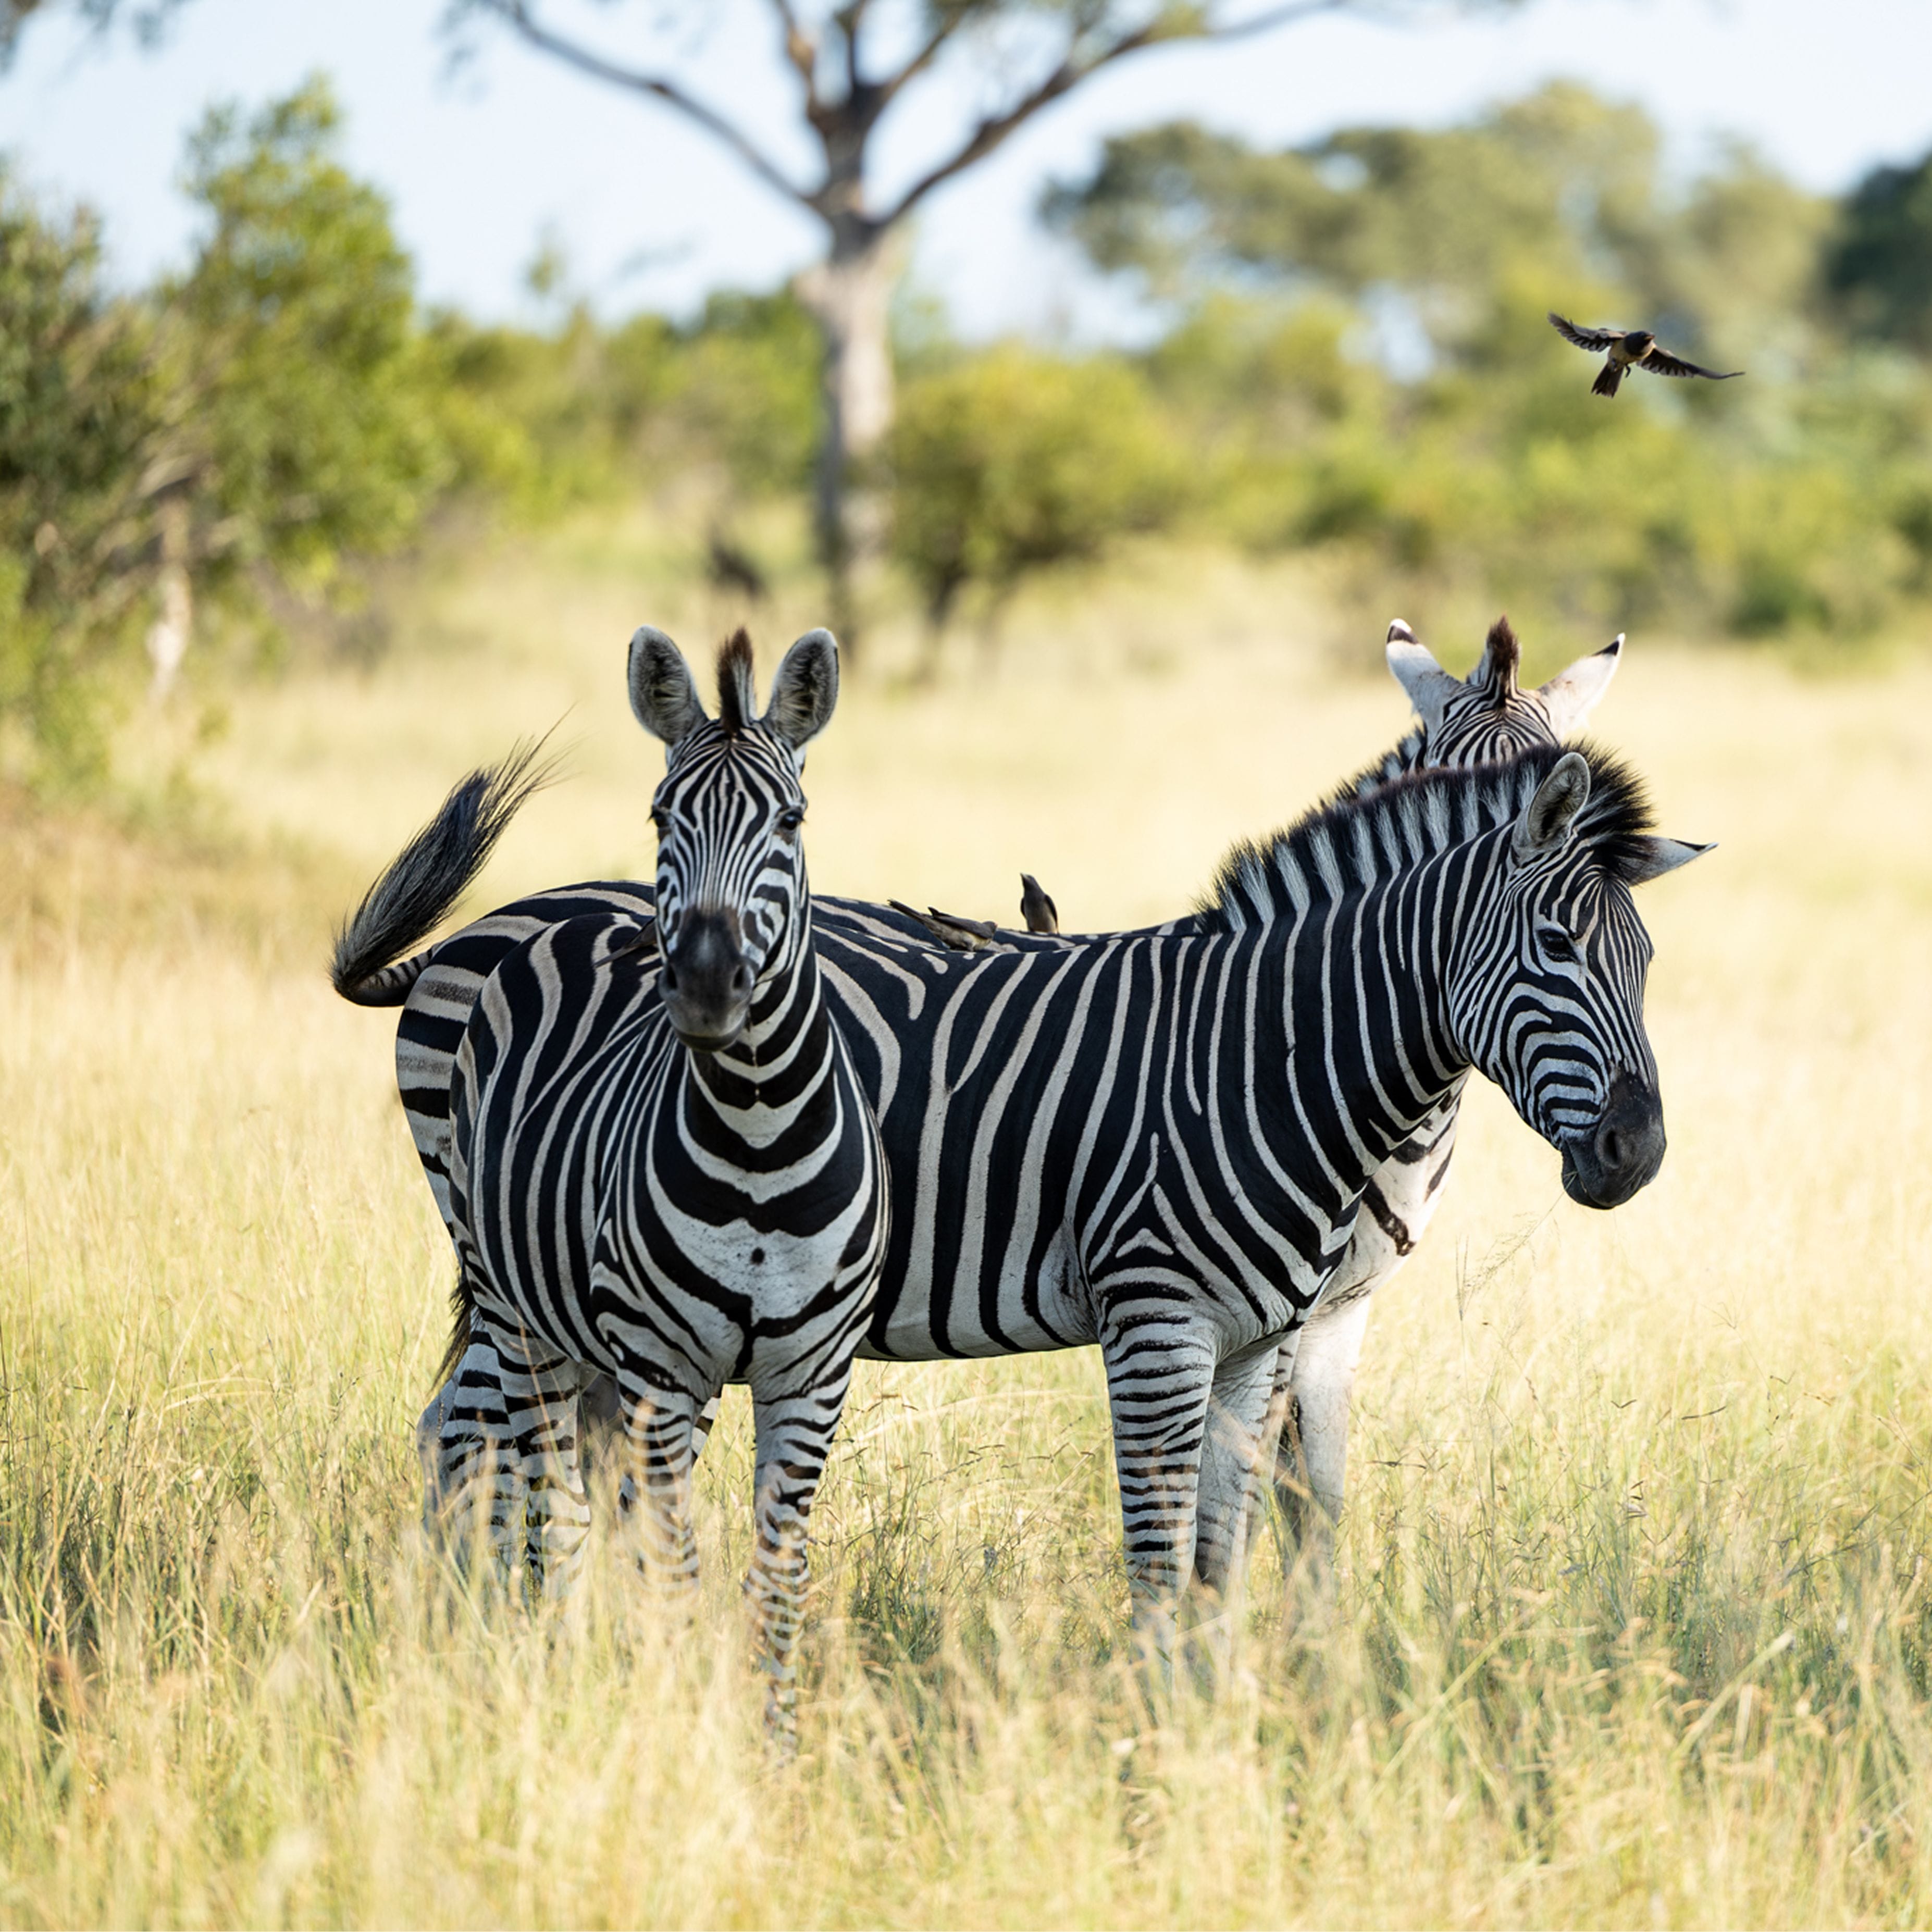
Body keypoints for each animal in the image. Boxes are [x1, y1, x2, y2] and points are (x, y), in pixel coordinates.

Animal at [338, 625, 887, 1735]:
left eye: (792, 820)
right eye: (662, 815)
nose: (708, 986)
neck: (757, 1133)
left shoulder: (810, 1372)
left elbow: (776, 1570)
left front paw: (774, 1740)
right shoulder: (662, 1366)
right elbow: (669, 1563)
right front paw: (676, 1727)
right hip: (520, 1308)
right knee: (533, 1486)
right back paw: (543, 1660)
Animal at [340, 676, 1704, 1643]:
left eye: (1644, 963)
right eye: (1554, 947)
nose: (1636, 1152)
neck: (1270, 1050)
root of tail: (486, 927)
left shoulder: (1282, 1328)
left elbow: (1245, 1544)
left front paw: (1241, 1731)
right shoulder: (1163, 1320)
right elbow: (1173, 1554)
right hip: (524, 1274)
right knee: (469, 1441)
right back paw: (489, 1652)